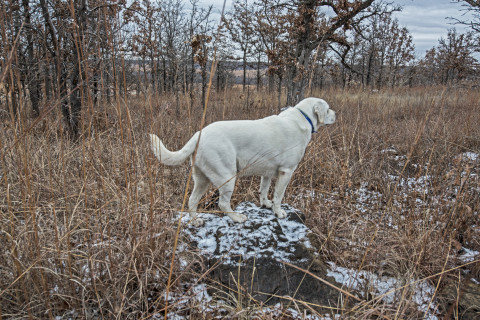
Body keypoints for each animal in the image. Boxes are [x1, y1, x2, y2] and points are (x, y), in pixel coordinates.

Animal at [149, 97, 334, 225]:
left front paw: (266, 204)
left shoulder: (267, 173)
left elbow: (264, 190)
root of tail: (198, 135)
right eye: (328, 109)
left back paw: (196, 221)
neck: (303, 118)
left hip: (202, 179)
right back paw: (237, 218)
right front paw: (278, 212)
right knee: (223, 204)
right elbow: (278, 196)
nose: (336, 114)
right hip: (227, 177)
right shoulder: (286, 171)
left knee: (192, 200)